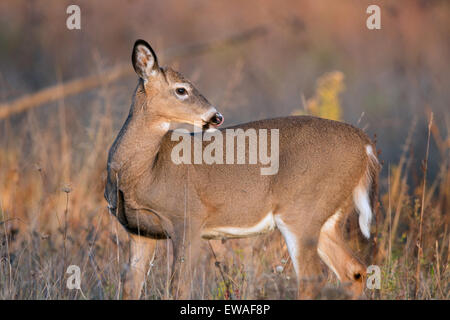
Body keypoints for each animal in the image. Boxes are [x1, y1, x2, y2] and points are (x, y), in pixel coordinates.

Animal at [104, 40, 380, 300]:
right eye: (181, 89)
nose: (216, 116)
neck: (144, 172)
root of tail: (365, 145)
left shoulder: (189, 219)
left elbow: (179, 287)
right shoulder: (139, 233)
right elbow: (130, 286)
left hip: (302, 209)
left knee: (313, 278)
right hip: (327, 217)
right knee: (354, 270)